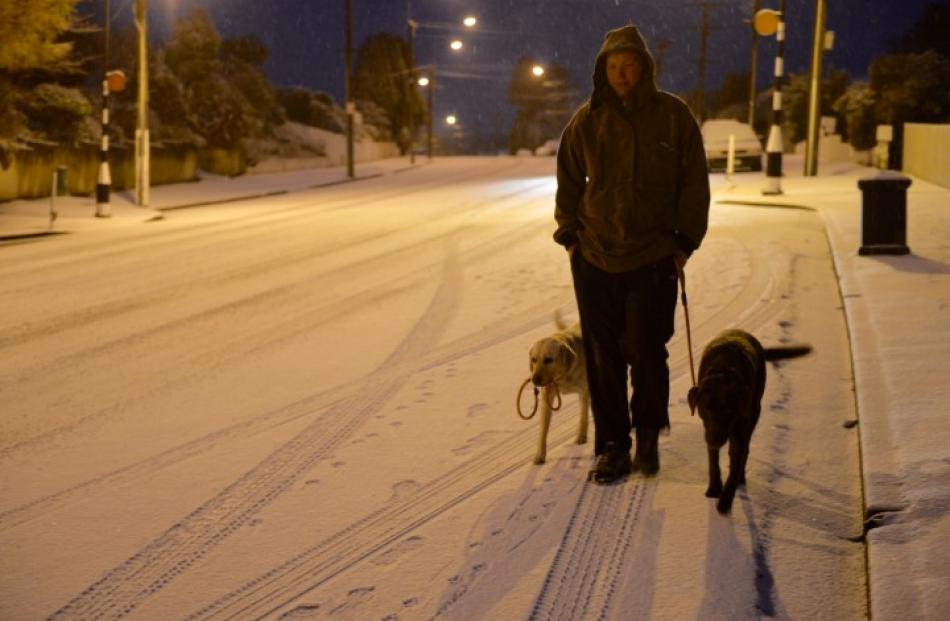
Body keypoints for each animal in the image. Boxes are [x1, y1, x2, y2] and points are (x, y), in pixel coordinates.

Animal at [688, 330, 816, 512]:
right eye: (704, 408)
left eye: (728, 410)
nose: (715, 440)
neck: (723, 370)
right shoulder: (709, 431)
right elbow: (713, 463)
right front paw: (714, 488)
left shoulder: (740, 428)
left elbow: (735, 464)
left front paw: (726, 500)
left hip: (754, 413)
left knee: (743, 451)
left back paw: (740, 478)